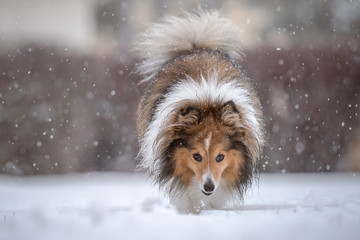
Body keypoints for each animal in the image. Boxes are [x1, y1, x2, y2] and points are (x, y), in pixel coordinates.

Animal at [134, 9, 266, 212]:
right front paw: (192, 213)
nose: (209, 186)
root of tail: (195, 48)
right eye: (196, 156)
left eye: (220, 157)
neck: (208, 101)